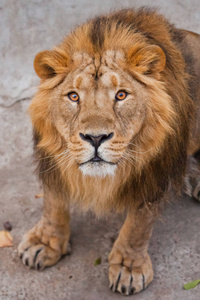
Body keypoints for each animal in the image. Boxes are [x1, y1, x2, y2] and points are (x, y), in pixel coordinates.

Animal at [18, 7, 200, 296]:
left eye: (121, 95)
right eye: (73, 96)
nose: (95, 137)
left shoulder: (154, 176)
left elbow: (138, 225)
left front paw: (128, 267)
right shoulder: (52, 161)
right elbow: (54, 201)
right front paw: (45, 243)